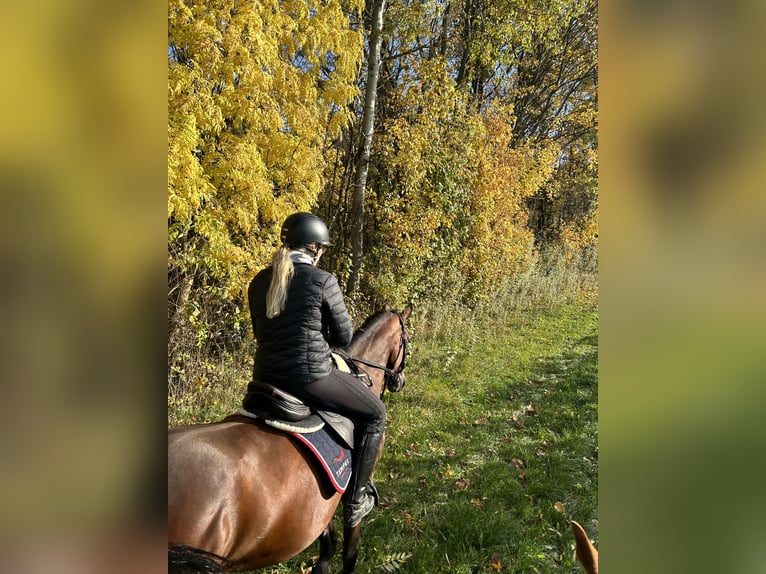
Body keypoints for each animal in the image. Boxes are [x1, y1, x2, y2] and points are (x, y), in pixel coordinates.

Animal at [169, 304, 414, 572]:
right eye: (407, 339)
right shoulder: (351, 489)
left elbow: (327, 543)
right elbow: (350, 547)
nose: (400, 382)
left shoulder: (321, 497)